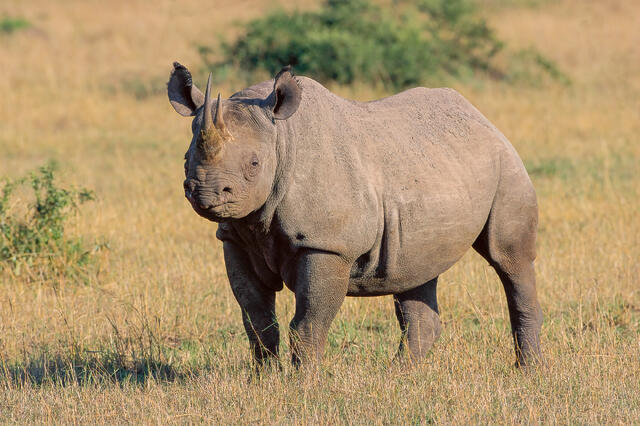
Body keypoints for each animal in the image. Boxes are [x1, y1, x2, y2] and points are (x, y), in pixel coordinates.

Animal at [167, 62, 543, 367]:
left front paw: (304, 386)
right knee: (416, 270)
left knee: (509, 259)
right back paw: (399, 377)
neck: (281, 138)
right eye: (185, 159)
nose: (205, 193)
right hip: (432, 166)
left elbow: (308, 323)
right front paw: (265, 381)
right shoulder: (236, 238)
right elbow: (257, 319)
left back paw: (528, 372)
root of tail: (483, 119)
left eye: (254, 165)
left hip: (505, 164)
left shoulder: (327, 244)